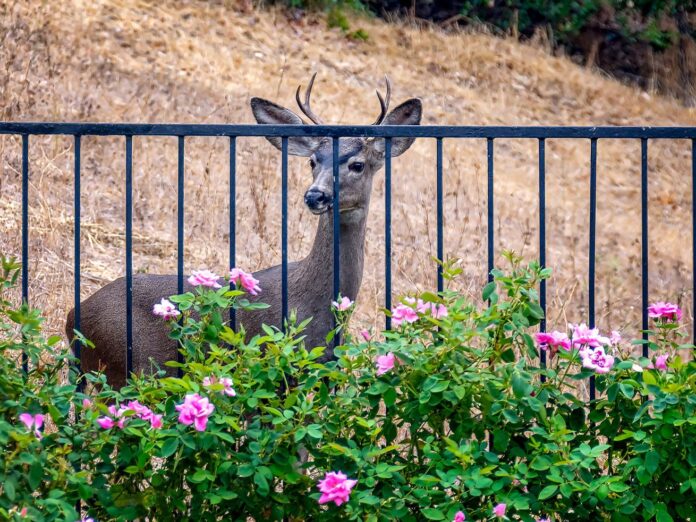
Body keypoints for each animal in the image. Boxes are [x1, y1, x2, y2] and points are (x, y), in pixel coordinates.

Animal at [66, 75, 424, 388]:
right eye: (312, 161)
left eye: (358, 164)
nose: (315, 195)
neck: (315, 303)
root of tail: (72, 319)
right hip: (128, 367)